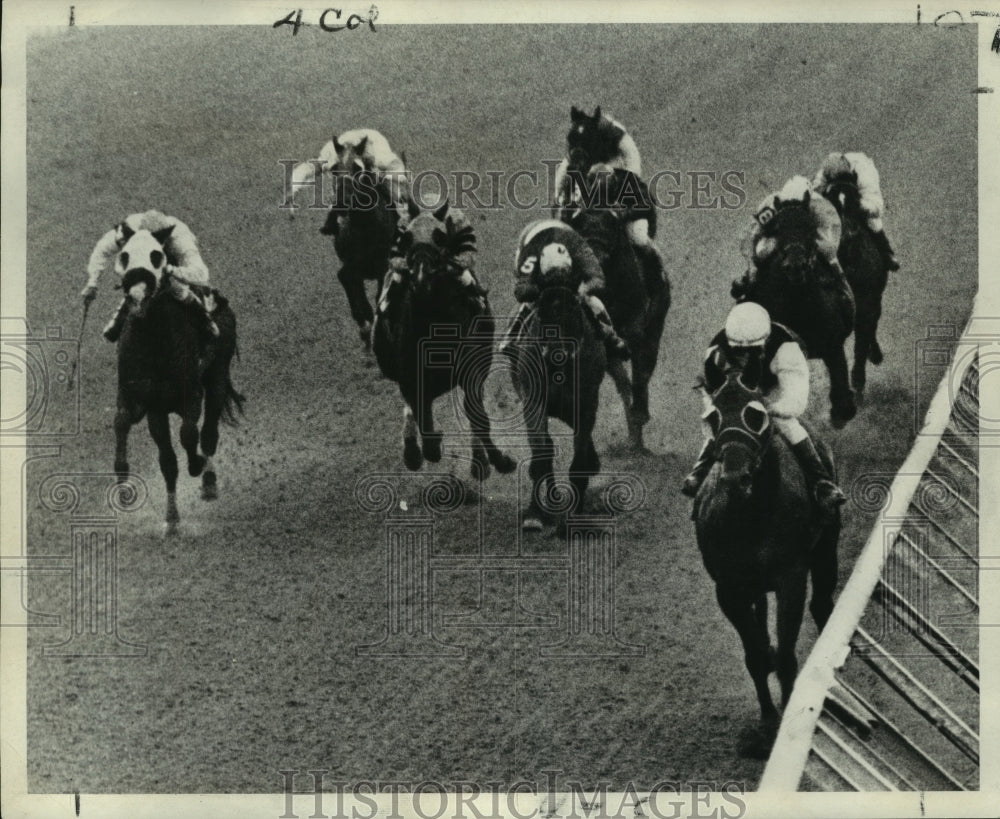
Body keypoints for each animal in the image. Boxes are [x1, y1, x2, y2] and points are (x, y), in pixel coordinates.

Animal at [692, 372, 840, 756]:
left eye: (755, 415)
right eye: (713, 417)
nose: (734, 477)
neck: (751, 516)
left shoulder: (791, 579)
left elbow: (786, 656)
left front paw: (787, 721)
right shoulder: (729, 589)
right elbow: (757, 656)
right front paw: (768, 722)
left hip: (827, 546)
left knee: (822, 604)